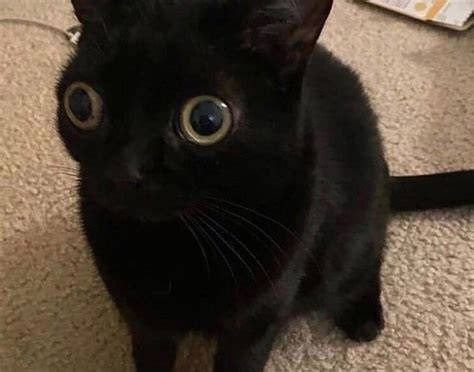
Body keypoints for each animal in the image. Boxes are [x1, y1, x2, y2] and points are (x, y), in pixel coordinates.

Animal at [56, 1, 474, 370]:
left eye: (206, 120)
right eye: (81, 104)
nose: (123, 171)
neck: (177, 242)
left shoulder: (254, 327)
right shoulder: (147, 326)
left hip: (350, 234)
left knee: (366, 258)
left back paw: (363, 315)